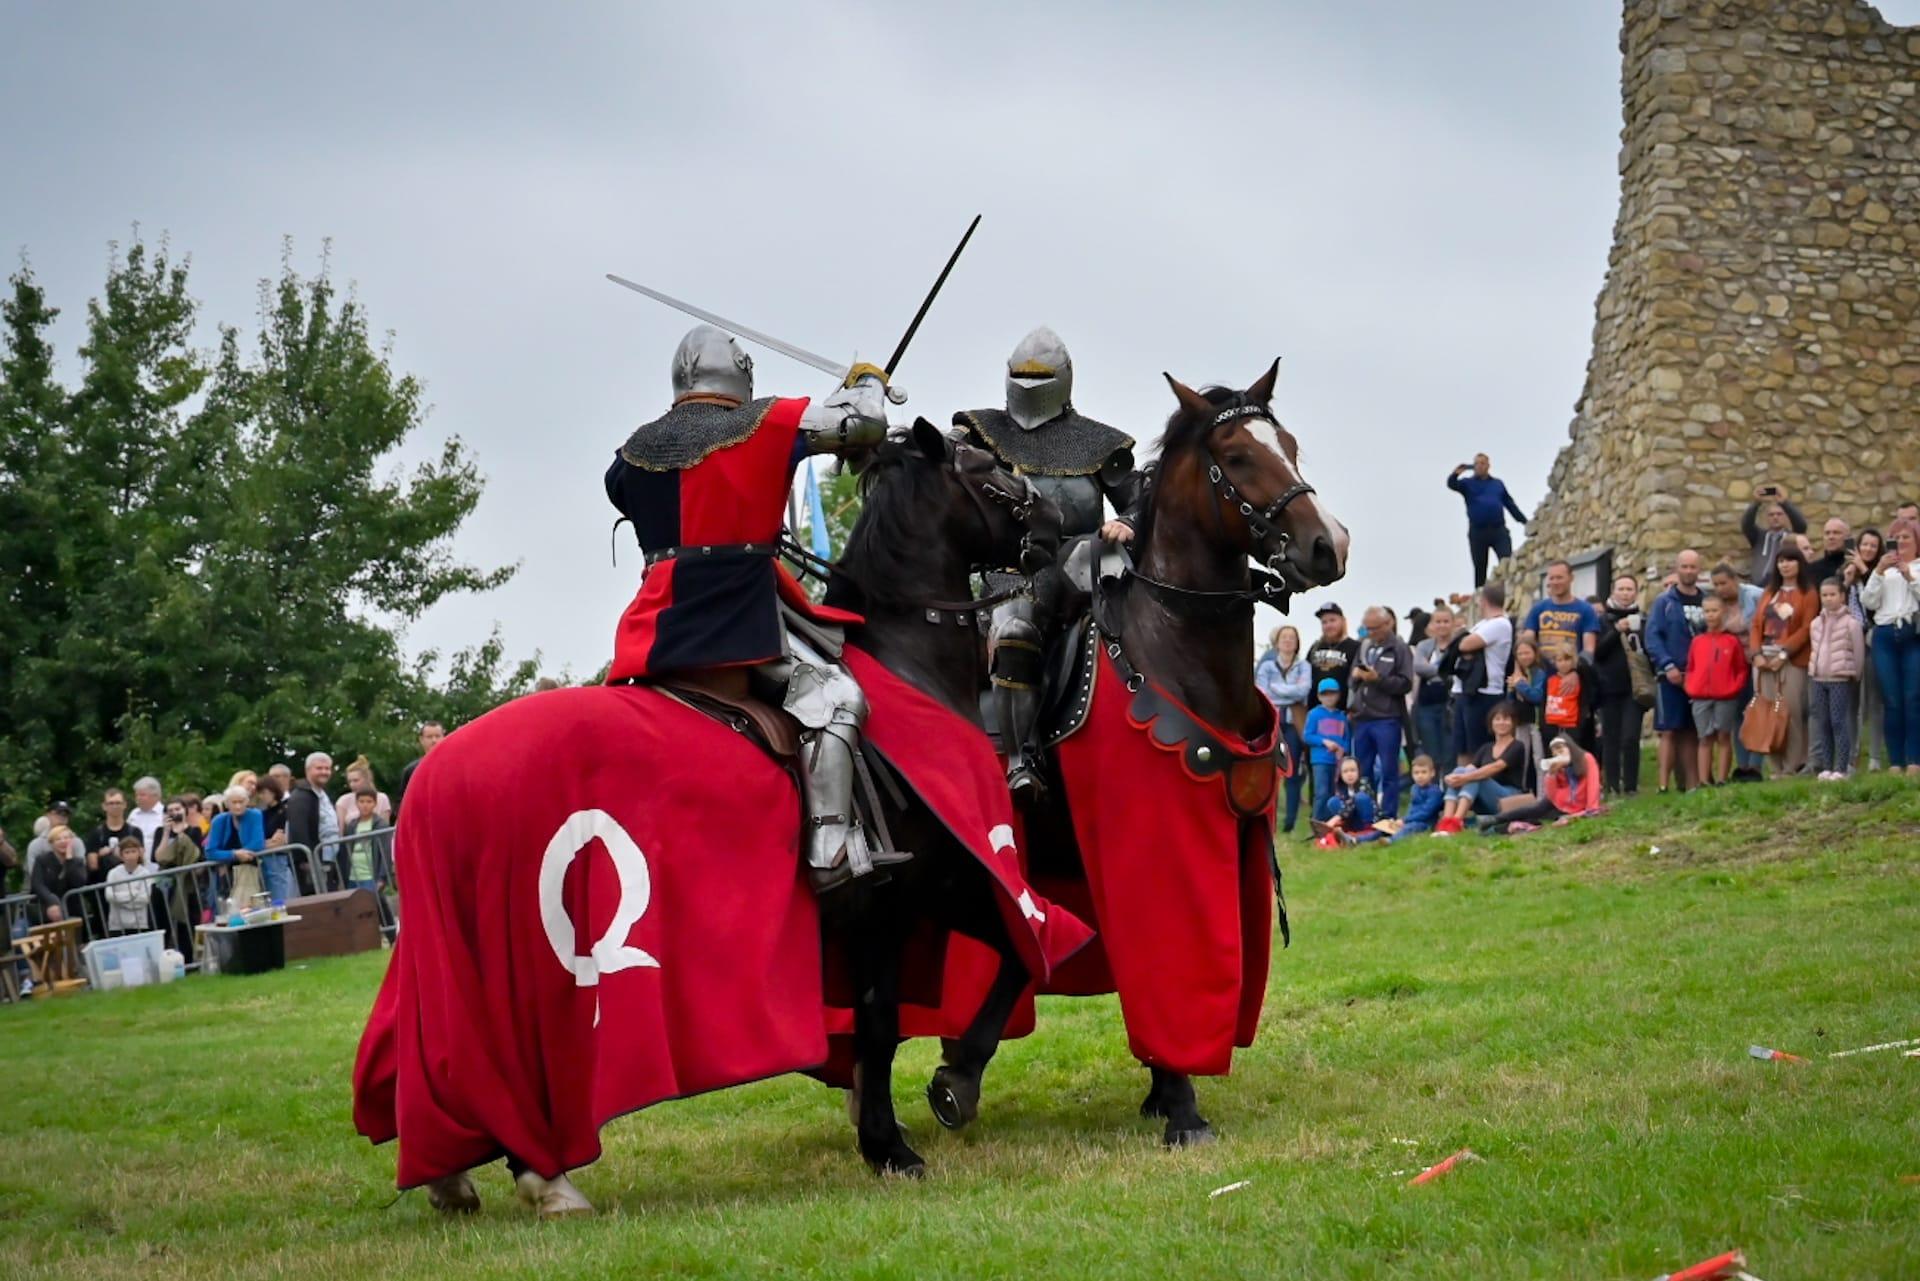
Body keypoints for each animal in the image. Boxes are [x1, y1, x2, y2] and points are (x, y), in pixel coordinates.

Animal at [929, 362, 1351, 1152]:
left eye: (1289, 446)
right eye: (1238, 457)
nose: (1327, 546)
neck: (1173, 641)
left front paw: (1160, 1089)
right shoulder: (1155, 842)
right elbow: (1165, 961)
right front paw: (1183, 1105)